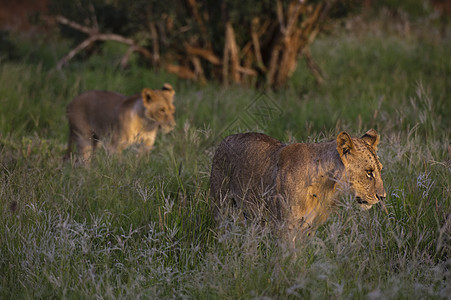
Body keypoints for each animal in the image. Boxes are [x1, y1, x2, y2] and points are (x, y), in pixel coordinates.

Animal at [210, 130, 386, 236]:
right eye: (369, 172)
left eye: (380, 169)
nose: (382, 197)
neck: (327, 187)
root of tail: (225, 139)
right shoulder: (285, 226)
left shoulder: (309, 228)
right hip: (221, 205)